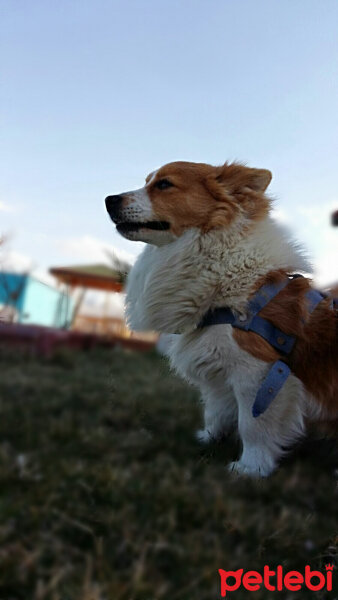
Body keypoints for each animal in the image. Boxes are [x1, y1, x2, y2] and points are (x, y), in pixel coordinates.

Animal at [104, 161, 336, 478]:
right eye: (148, 181)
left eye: (164, 184)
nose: (108, 200)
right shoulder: (216, 364)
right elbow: (215, 410)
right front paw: (208, 438)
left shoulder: (258, 371)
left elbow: (253, 426)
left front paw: (251, 467)